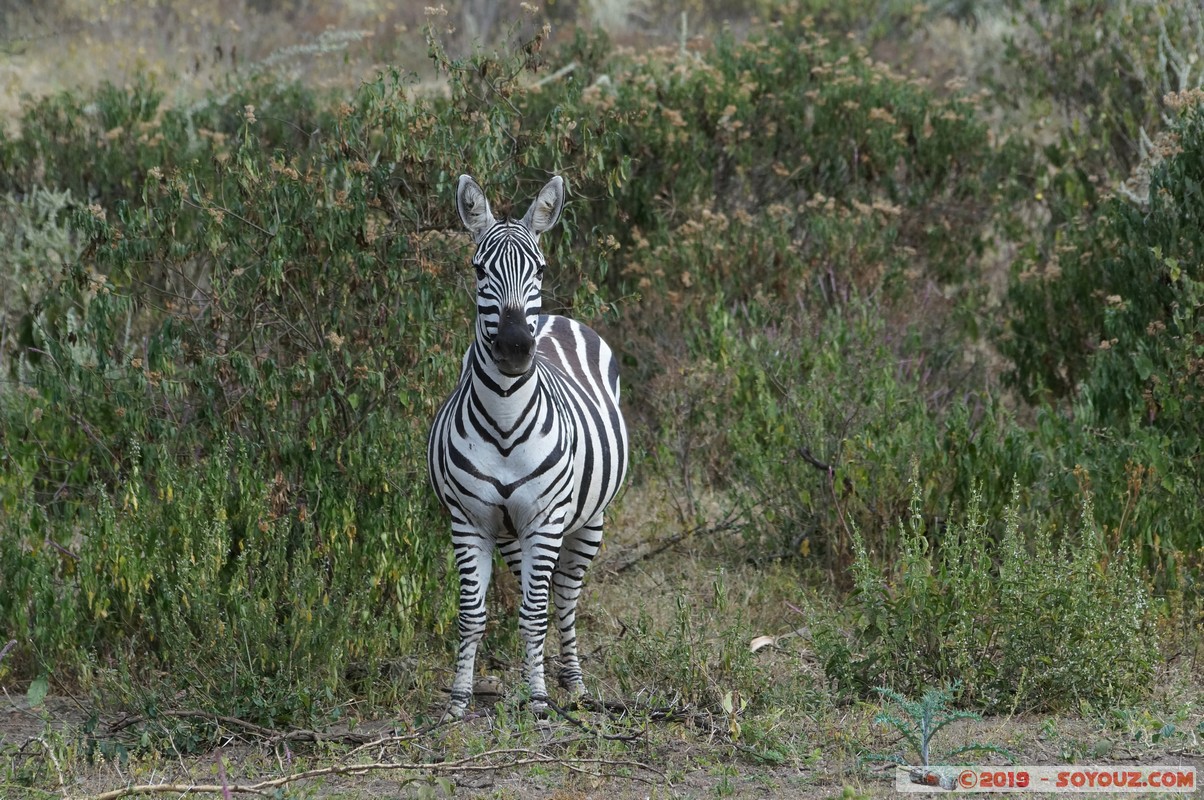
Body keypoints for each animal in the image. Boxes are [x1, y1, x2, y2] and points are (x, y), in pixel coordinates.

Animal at [426, 173, 630, 718]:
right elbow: (473, 613)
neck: (503, 421)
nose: (516, 348)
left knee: (562, 597)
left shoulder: (546, 517)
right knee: (528, 594)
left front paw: (540, 702)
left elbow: (537, 612)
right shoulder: (469, 520)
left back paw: (572, 685)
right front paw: (458, 703)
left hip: (587, 520)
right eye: (479, 269)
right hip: (510, 533)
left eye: (539, 268)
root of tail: (558, 318)